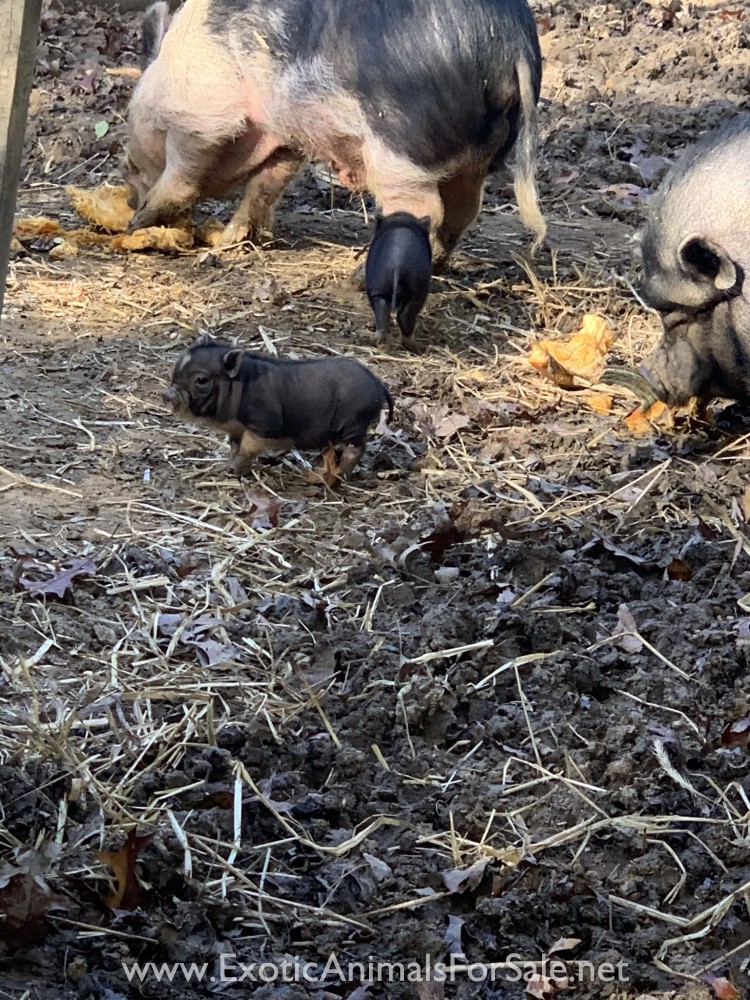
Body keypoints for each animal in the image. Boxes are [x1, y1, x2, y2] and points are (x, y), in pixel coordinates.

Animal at [124, 0, 546, 273]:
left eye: (130, 163)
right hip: (478, 154)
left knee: (423, 209)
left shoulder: (204, 112)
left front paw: (137, 224)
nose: (129, 202)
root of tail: (510, 43)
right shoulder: (286, 136)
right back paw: (437, 266)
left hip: (398, 148)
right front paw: (230, 240)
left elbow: (184, 173)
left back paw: (359, 277)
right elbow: (265, 185)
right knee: (463, 210)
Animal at [163, 338, 394, 476]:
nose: (167, 395)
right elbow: (234, 447)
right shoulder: (236, 429)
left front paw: (235, 471)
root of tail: (379, 385)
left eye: (201, 380)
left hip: (355, 422)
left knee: (356, 449)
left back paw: (333, 475)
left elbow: (247, 450)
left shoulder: (262, 425)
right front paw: (226, 467)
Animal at [365, 212, 432, 344]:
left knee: (383, 311)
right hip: (417, 289)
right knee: (405, 314)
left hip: (379, 288)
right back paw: (414, 345)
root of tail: (397, 263)